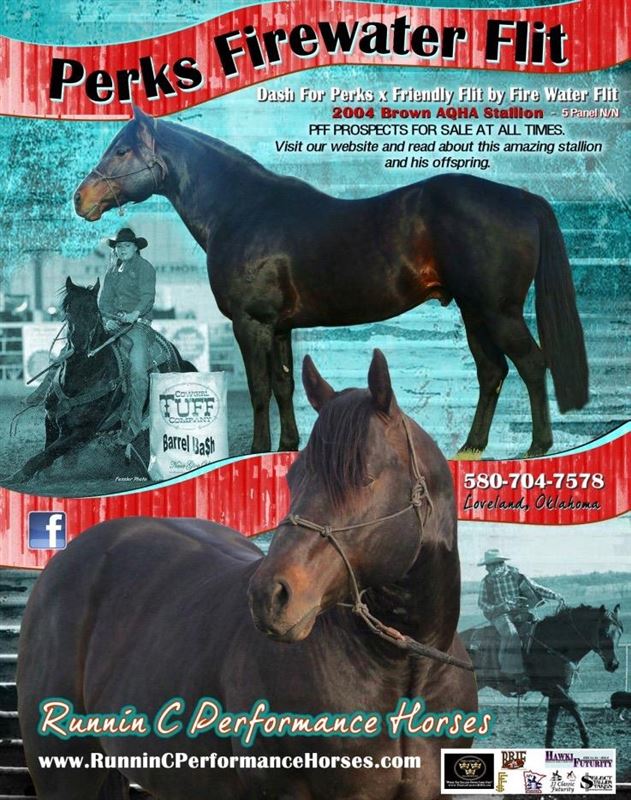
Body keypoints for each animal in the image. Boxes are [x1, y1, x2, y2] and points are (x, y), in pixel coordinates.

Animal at [9, 277, 195, 484]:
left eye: (94, 310)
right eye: (68, 309)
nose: (79, 342)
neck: (81, 379)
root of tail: (174, 352)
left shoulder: (82, 431)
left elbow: (44, 456)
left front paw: (16, 476)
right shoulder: (50, 419)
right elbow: (47, 456)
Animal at [74, 106, 589, 458]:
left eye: (122, 149)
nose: (82, 199)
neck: (241, 210)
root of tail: (523, 199)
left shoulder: (250, 323)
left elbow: (259, 388)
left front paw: (256, 450)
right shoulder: (279, 327)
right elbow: (284, 386)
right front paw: (287, 447)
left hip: (496, 311)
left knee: (531, 364)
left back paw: (538, 447)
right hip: (473, 311)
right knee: (492, 372)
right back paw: (470, 448)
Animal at [460, 603, 623, 747]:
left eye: (620, 633)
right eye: (604, 632)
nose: (614, 664)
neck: (552, 644)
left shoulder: (557, 692)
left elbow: (552, 719)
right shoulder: (554, 687)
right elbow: (575, 707)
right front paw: (586, 741)